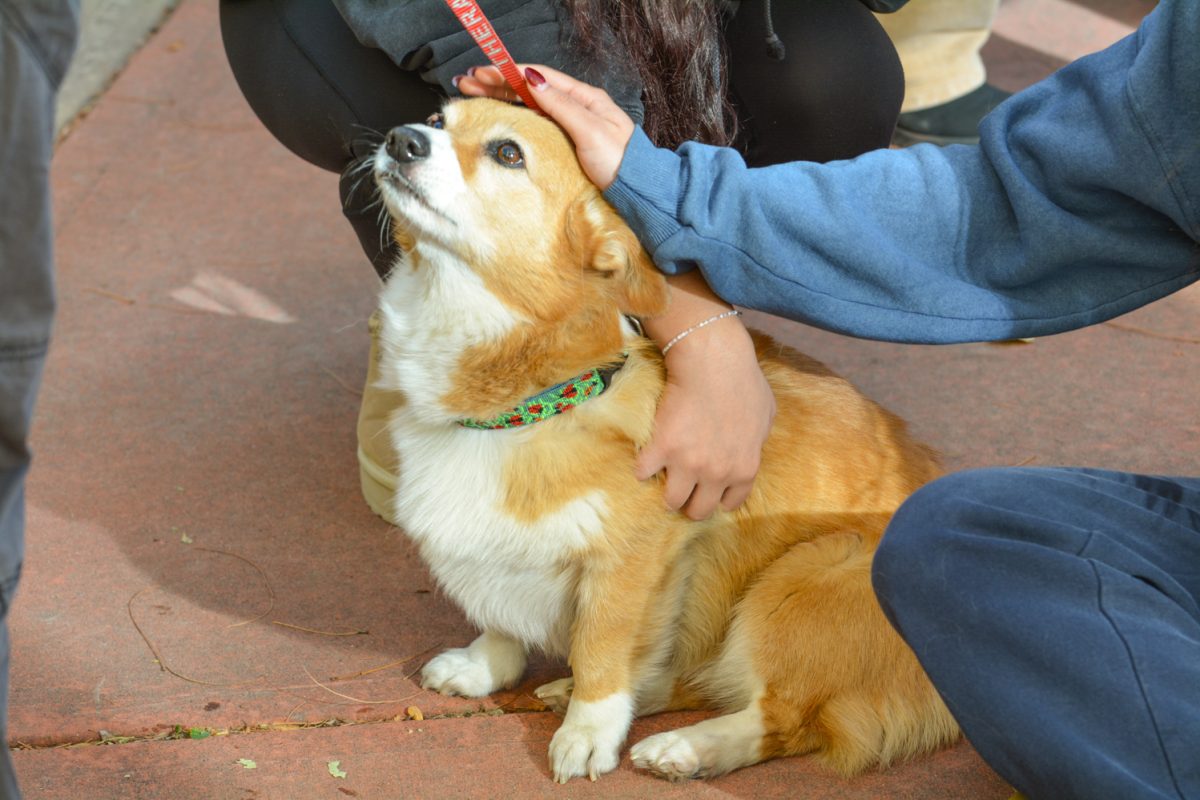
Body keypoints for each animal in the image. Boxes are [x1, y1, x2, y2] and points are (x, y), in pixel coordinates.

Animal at [369, 98, 960, 782]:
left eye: (508, 153)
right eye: (440, 119)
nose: (402, 139)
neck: (530, 402)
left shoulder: (635, 560)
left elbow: (601, 649)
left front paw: (587, 735)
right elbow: (499, 617)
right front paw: (483, 667)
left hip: (802, 579)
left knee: (783, 718)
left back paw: (685, 748)